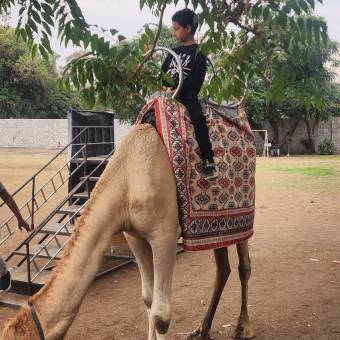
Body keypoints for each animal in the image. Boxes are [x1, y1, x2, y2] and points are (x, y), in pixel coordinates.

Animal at [1, 123, 254, 338]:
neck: (127, 179)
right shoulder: (135, 236)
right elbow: (148, 300)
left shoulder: (164, 235)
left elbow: (161, 315)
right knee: (222, 268)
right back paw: (201, 330)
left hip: (242, 220)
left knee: (244, 266)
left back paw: (243, 328)